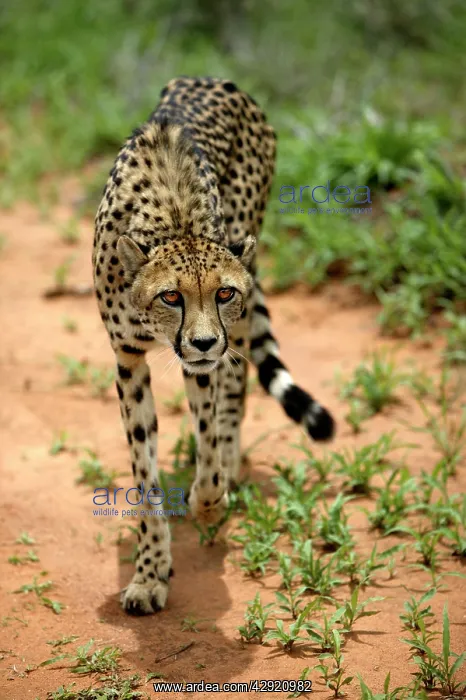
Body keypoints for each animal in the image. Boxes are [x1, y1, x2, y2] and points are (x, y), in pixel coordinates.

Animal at [92, 76, 335, 615]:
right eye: (171, 296)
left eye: (223, 293)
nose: (203, 341)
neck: (173, 220)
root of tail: (208, 80)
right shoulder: (127, 359)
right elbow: (145, 472)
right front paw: (149, 573)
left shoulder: (205, 359)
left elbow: (206, 440)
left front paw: (209, 500)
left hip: (241, 302)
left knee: (235, 388)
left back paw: (229, 465)